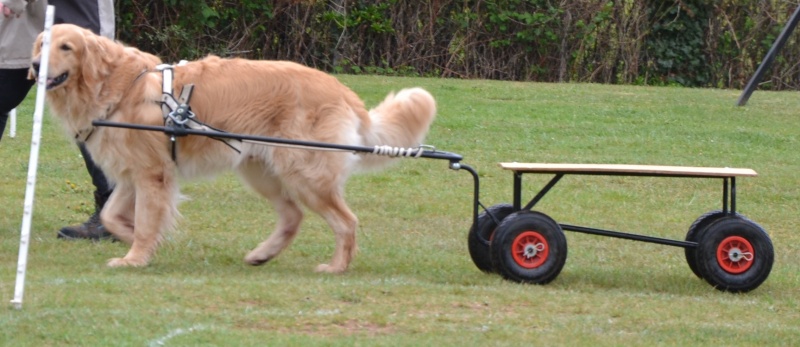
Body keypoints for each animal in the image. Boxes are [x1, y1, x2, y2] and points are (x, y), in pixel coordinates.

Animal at [31, 25, 434, 274]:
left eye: (66, 47)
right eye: (42, 44)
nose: (35, 65)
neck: (116, 84)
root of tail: (343, 90)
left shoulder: (152, 173)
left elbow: (145, 222)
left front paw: (136, 256)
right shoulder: (133, 174)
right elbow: (114, 216)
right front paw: (145, 242)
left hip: (304, 172)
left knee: (346, 221)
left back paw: (336, 266)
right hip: (260, 170)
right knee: (293, 216)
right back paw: (262, 254)